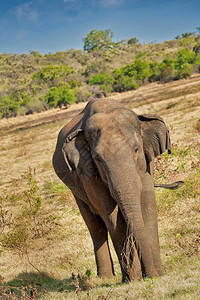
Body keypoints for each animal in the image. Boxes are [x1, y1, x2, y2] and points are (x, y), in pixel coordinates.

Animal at [52, 98, 173, 282]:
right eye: (98, 159)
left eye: (136, 149)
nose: (149, 276)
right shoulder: (88, 173)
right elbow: (112, 215)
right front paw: (132, 280)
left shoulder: (146, 164)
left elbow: (147, 206)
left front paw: (158, 275)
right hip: (75, 189)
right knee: (96, 227)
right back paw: (106, 278)